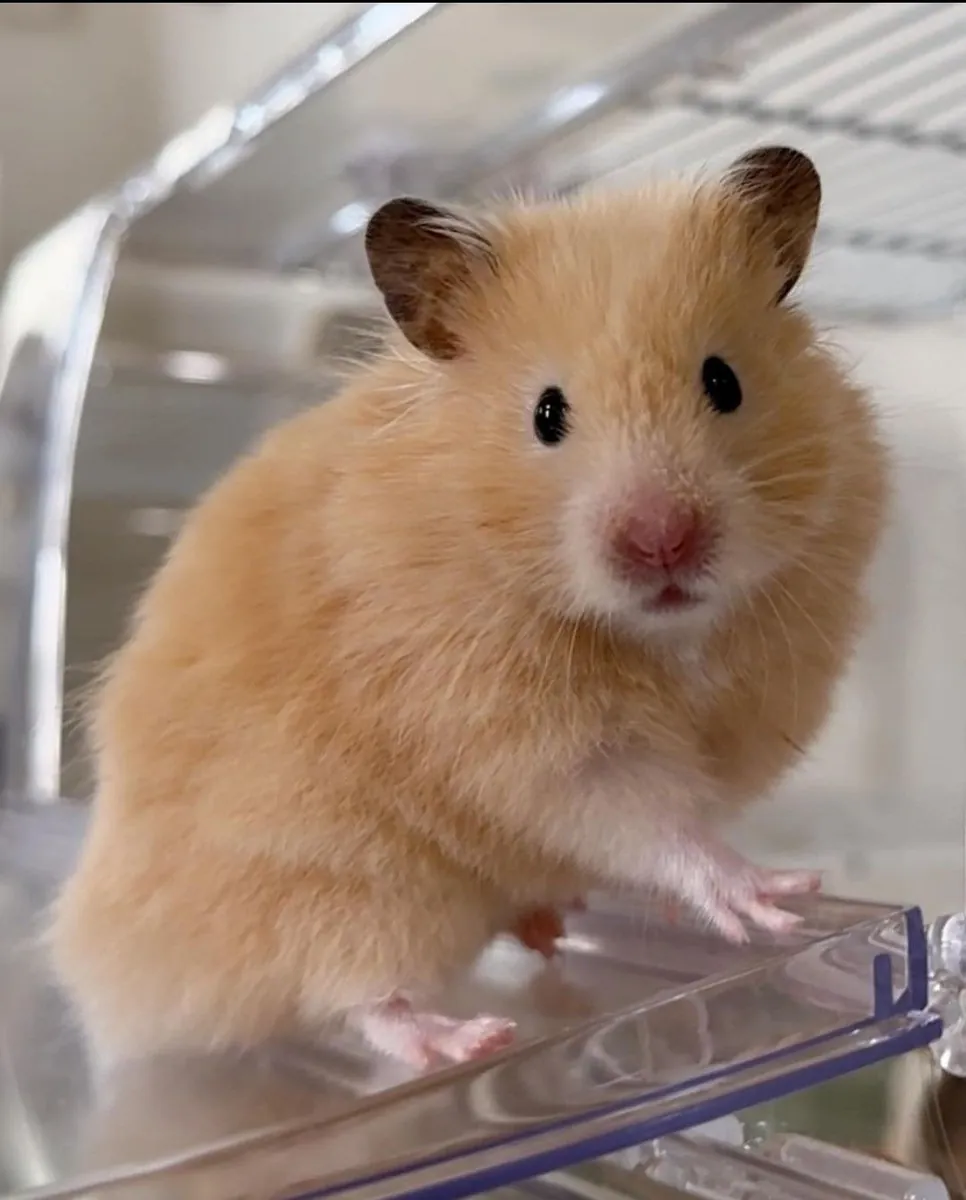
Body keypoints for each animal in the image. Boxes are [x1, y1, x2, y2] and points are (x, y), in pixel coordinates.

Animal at [48, 146, 889, 1073]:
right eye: (547, 412)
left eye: (723, 381)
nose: (663, 542)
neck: (658, 634)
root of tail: (112, 982)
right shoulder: (522, 734)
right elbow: (647, 818)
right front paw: (771, 895)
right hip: (339, 883)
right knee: (358, 995)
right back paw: (469, 1037)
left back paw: (546, 924)